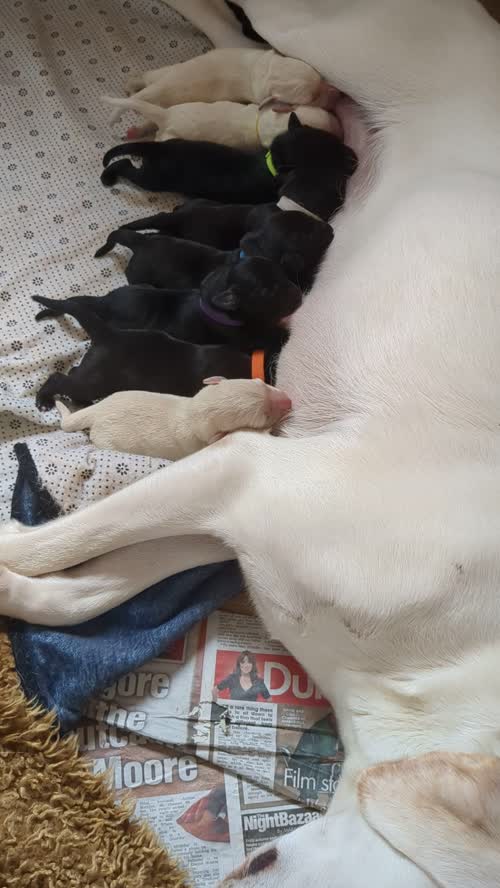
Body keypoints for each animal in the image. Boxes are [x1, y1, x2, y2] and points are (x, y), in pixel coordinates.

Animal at [34, 304, 260, 412]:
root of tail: (109, 333)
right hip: (97, 382)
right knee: (58, 378)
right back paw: (43, 400)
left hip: (92, 372)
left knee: (73, 373)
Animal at [102, 112, 356, 220]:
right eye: (326, 156)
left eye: (330, 137)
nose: (354, 156)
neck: (272, 161)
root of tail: (159, 148)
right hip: (152, 177)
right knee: (126, 164)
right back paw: (108, 176)